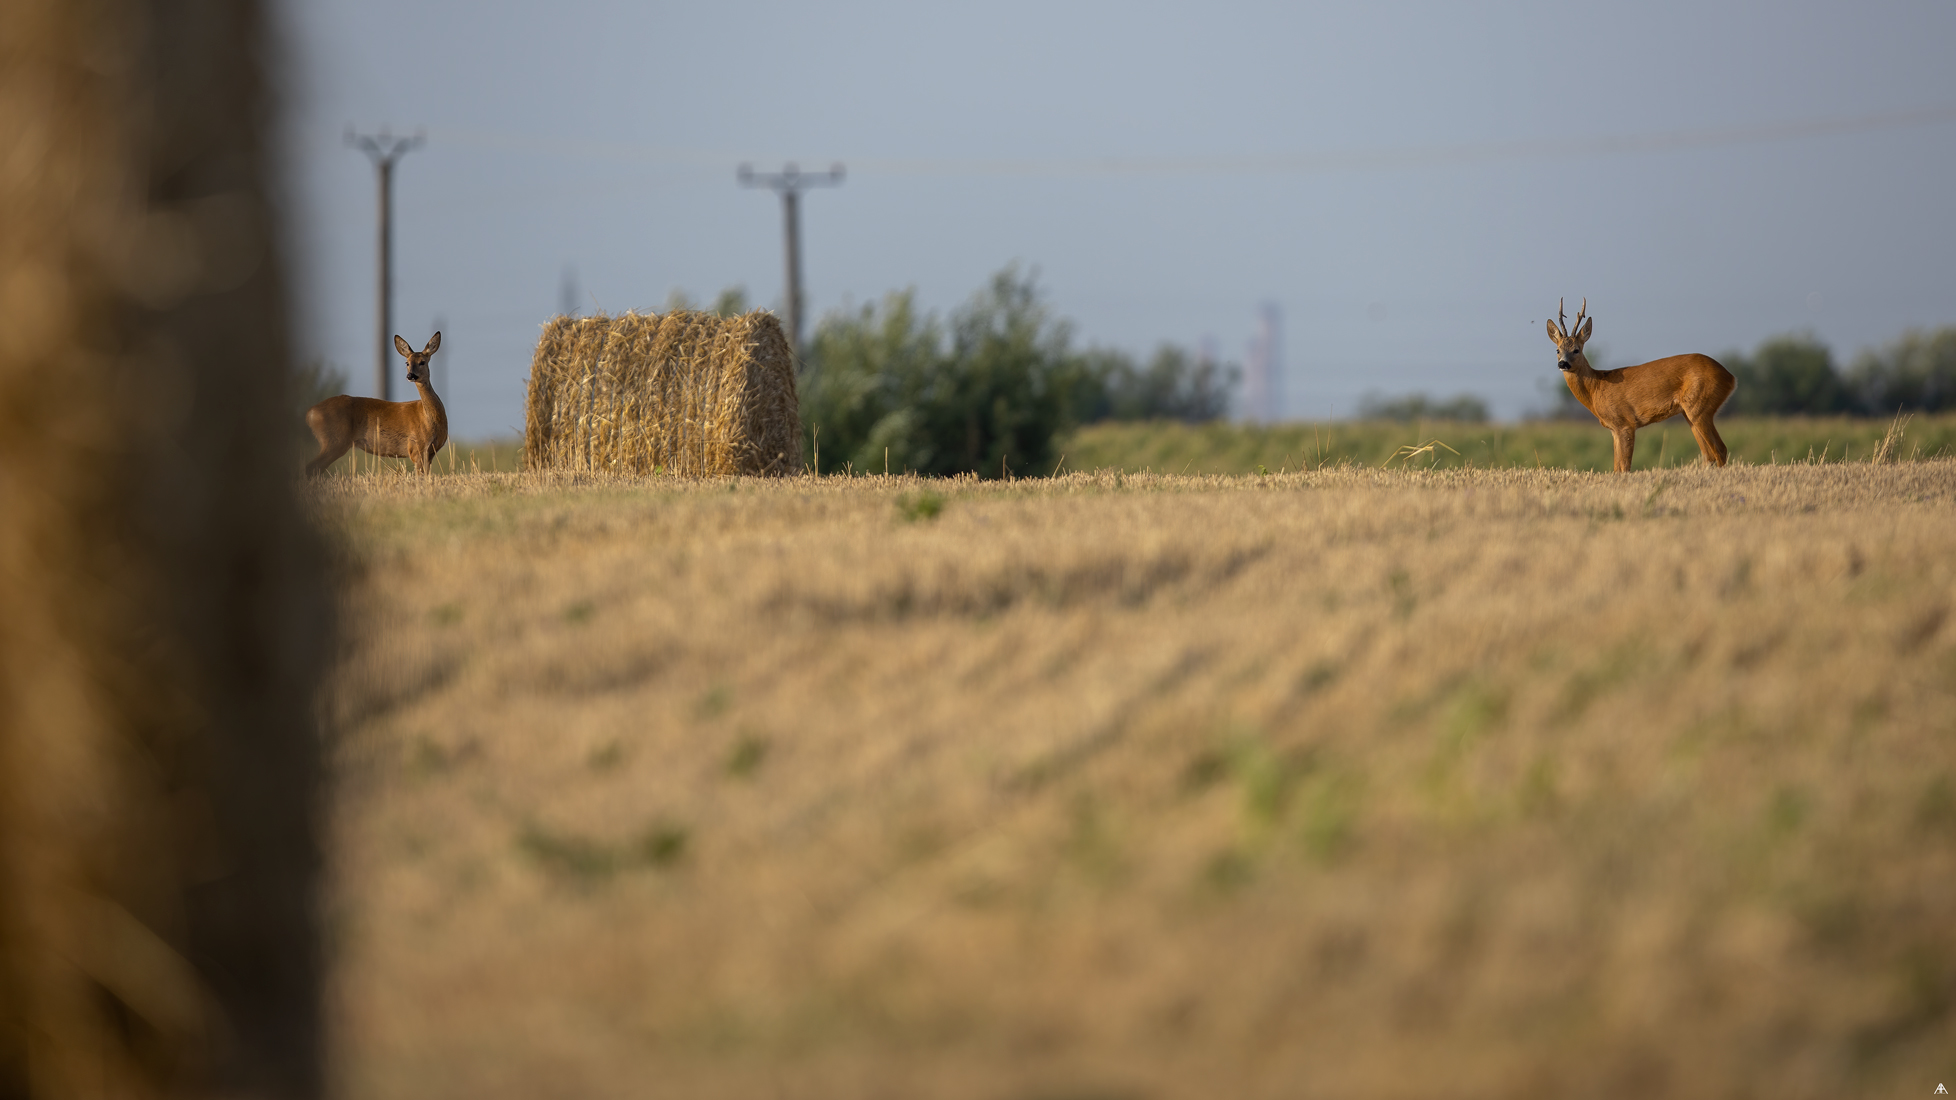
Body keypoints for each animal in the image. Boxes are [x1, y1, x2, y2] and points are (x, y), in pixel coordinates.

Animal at [305, 333, 448, 476]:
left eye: (422, 362)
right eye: (407, 363)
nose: (410, 375)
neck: (429, 419)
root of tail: (310, 413)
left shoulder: (429, 453)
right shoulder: (416, 447)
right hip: (334, 440)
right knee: (311, 467)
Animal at [1546, 299, 1736, 472]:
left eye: (1576, 349)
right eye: (1557, 350)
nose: (1563, 364)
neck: (1596, 388)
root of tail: (1731, 377)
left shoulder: (1625, 422)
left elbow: (1624, 467)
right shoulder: (1614, 429)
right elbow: (1616, 468)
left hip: (1700, 406)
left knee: (1720, 449)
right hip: (1690, 413)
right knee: (1709, 455)